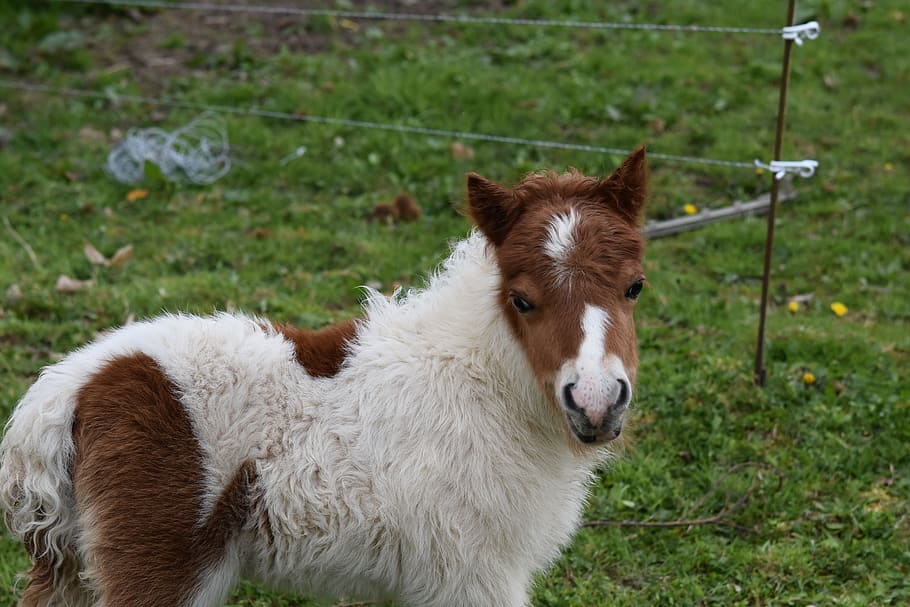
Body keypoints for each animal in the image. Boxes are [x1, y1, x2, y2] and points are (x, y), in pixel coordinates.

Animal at [0, 147, 648, 607]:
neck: (481, 385)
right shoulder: (474, 571)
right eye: (521, 300)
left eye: (634, 287)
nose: (596, 401)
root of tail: (67, 389)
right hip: (157, 565)